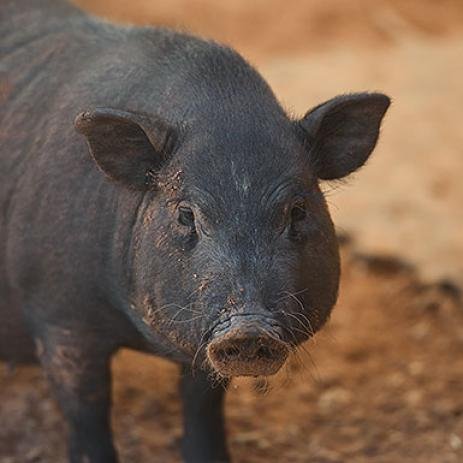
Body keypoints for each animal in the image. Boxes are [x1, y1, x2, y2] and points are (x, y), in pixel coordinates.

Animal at [0, 0, 392, 463]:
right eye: (186, 214)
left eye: (297, 211)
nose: (248, 327)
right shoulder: (61, 318)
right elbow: (87, 415)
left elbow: (203, 403)